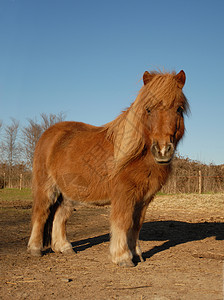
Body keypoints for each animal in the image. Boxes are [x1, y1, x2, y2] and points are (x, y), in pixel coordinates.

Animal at [28, 69, 189, 268]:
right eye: (148, 109)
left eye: (179, 109)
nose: (162, 150)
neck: (135, 154)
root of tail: (49, 134)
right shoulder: (124, 194)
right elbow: (123, 222)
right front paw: (122, 257)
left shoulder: (144, 198)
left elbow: (136, 225)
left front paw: (136, 254)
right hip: (47, 188)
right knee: (41, 213)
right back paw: (35, 249)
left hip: (67, 193)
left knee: (60, 215)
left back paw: (65, 247)